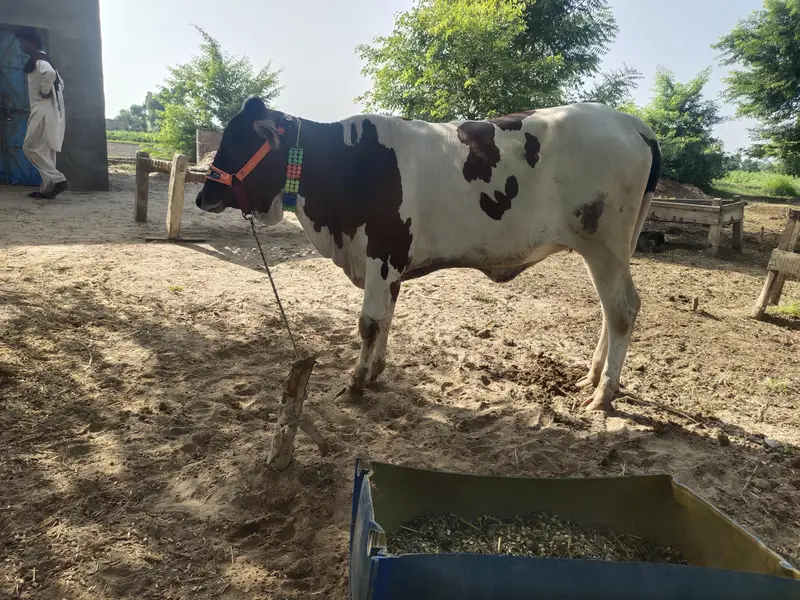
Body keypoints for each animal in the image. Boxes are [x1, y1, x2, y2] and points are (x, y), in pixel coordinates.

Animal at [195, 96, 661, 412]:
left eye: (237, 139)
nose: (203, 195)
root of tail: (633, 122)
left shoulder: (381, 252)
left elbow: (369, 323)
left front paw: (356, 383)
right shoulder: (391, 263)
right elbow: (387, 318)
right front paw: (376, 371)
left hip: (603, 244)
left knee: (622, 310)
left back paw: (603, 393)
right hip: (612, 249)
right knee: (612, 310)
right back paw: (592, 376)